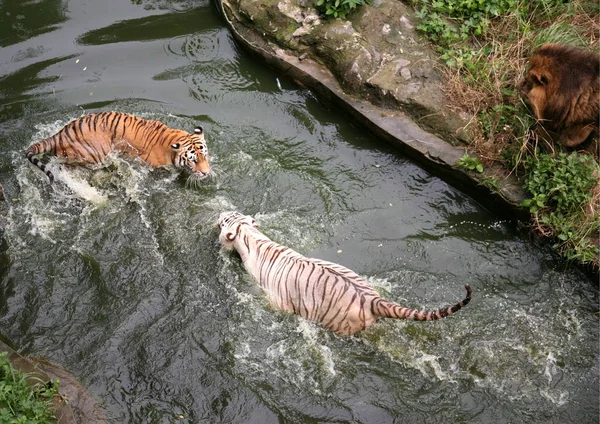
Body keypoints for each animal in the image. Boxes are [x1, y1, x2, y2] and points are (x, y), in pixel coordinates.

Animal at [217, 210, 474, 336]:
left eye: (223, 221)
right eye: (231, 213)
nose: (218, 214)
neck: (251, 236)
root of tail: (373, 300)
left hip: (342, 325)